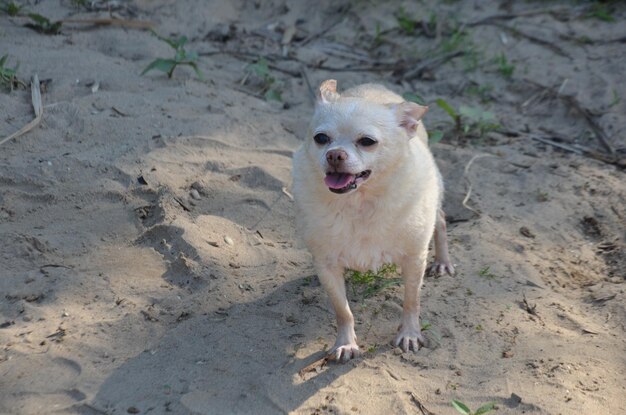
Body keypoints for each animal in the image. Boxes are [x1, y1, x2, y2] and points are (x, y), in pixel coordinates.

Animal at [290, 80, 450, 360]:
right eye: (321, 138)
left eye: (367, 142)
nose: (334, 154)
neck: (359, 203)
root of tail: (376, 86)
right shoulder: (326, 265)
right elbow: (342, 310)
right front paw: (345, 343)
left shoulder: (414, 259)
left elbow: (411, 301)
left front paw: (410, 334)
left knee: (440, 220)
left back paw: (442, 261)